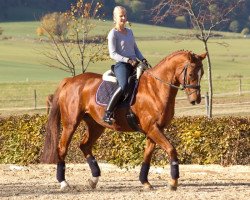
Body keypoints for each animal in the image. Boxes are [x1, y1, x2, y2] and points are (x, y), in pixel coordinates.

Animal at [40, 50, 205, 191]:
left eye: (202, 73)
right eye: (191, 73)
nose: (196, 100)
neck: (156, 88)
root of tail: (70, 80)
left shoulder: (155, 130)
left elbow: (147, 156)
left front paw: (145, 182)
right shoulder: (152, 128)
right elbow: (171, 149)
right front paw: (173, 183)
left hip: (96, 125)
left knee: (84, 145)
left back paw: (94, 179)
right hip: (70, 124)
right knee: (62, 148)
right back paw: (64, 183)